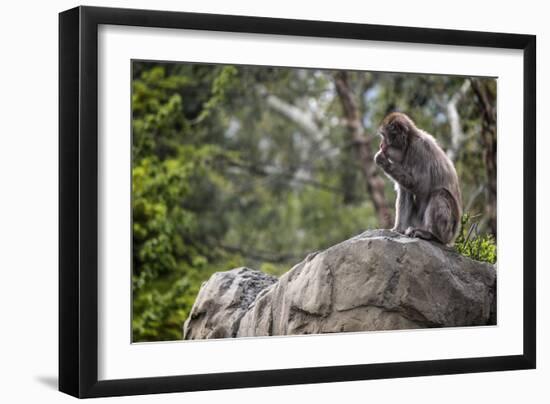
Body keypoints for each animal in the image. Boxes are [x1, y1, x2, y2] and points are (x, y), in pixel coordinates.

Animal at [378, 112, 464, 246]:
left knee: (440, 193)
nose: (381, 145)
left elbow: (421, 186)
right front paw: (397, 229)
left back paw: (432, 235)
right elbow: (405, 192)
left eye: (384, 136)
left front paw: (384, 162)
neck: (408, 142)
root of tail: (453, 237)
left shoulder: (419, 149)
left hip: (448, 230)